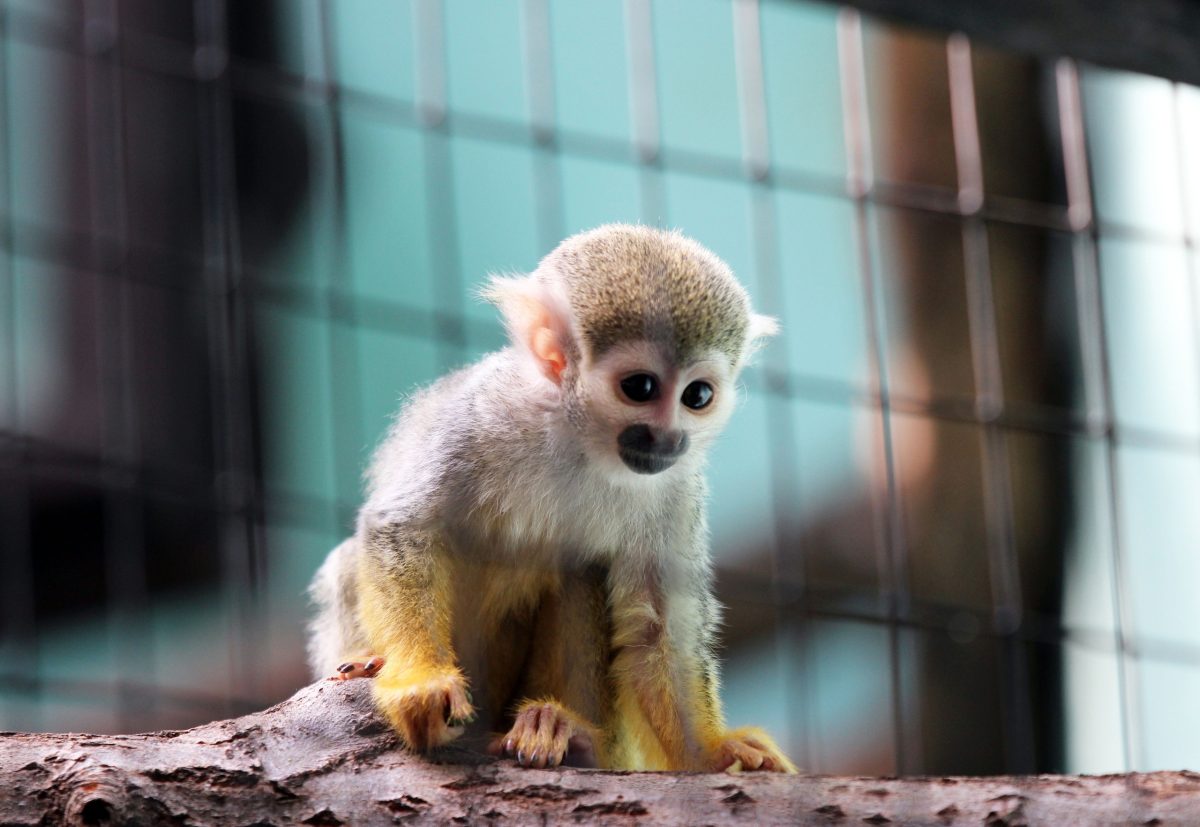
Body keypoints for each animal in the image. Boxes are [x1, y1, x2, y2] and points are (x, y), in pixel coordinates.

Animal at [307, 222, 796, 772]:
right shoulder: (482, 414)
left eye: (698, 396)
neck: (582, 441)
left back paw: (564, 733)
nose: (670, 439)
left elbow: (656, 628)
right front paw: (420, 681)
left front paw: (712, 751)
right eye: (641, 387)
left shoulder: (676, 486)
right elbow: (404, 526)